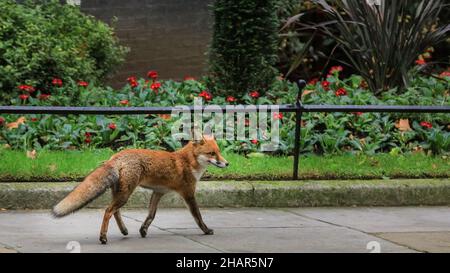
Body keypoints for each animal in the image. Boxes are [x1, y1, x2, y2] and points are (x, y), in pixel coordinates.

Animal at [51, 135, 229, 243]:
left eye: (219, 152)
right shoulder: (188, 193)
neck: (187, 162)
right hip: (125, 194)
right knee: (108, 210)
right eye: (212, 153)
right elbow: (198, 216)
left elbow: (151, 215)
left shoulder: (158, 192)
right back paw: (103, 237)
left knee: (115, 211)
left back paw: (124, 231)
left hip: (120, 192)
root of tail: (116, 156)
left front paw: (143, 230)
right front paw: (206, 230)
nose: (227, 163)